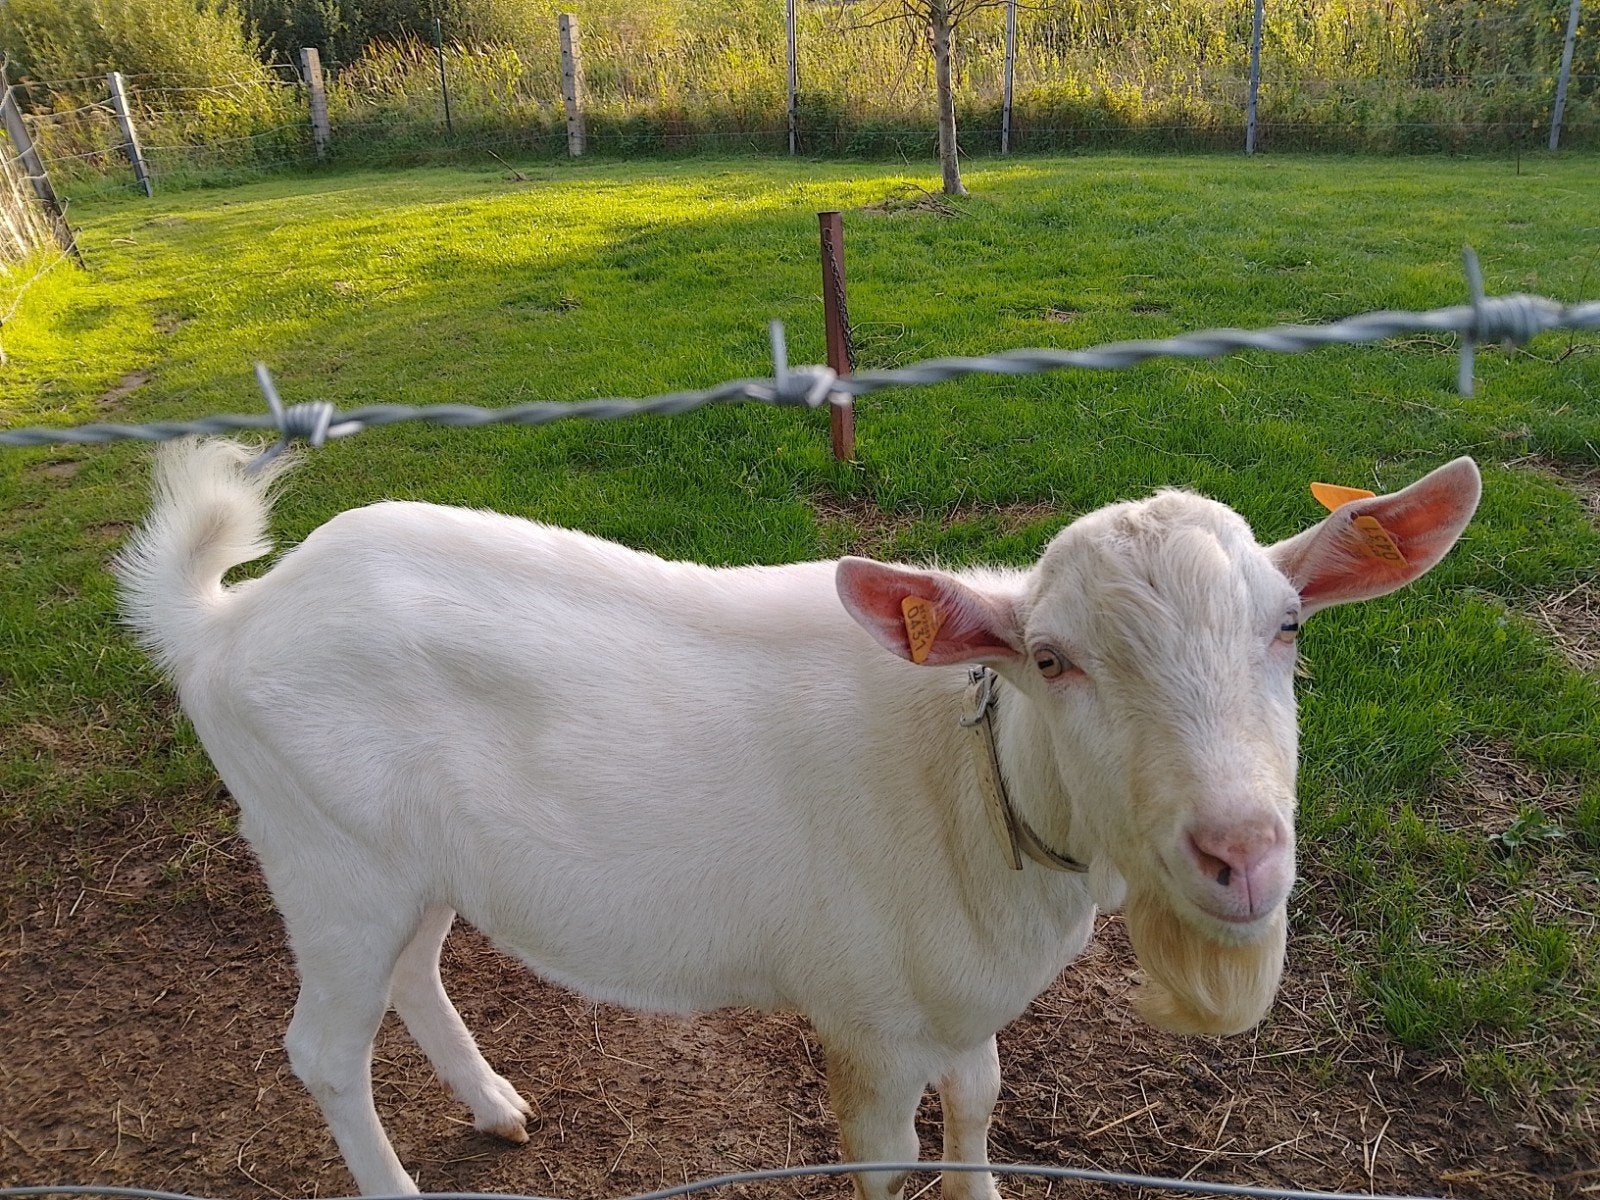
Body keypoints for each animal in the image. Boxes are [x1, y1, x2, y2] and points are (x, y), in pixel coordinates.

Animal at [115, 440, 1480, 1198]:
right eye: (1051, 659)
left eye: (1288, 628)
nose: (1239, 854)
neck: (966, 784)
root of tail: (226, 622)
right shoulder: (864, 1018)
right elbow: (883, 1161)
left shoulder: (958, 1001)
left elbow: (978, 1106)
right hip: (319, 853)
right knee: (321, 1049)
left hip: (405, 862)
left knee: (412, 973)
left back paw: (495, 1107)